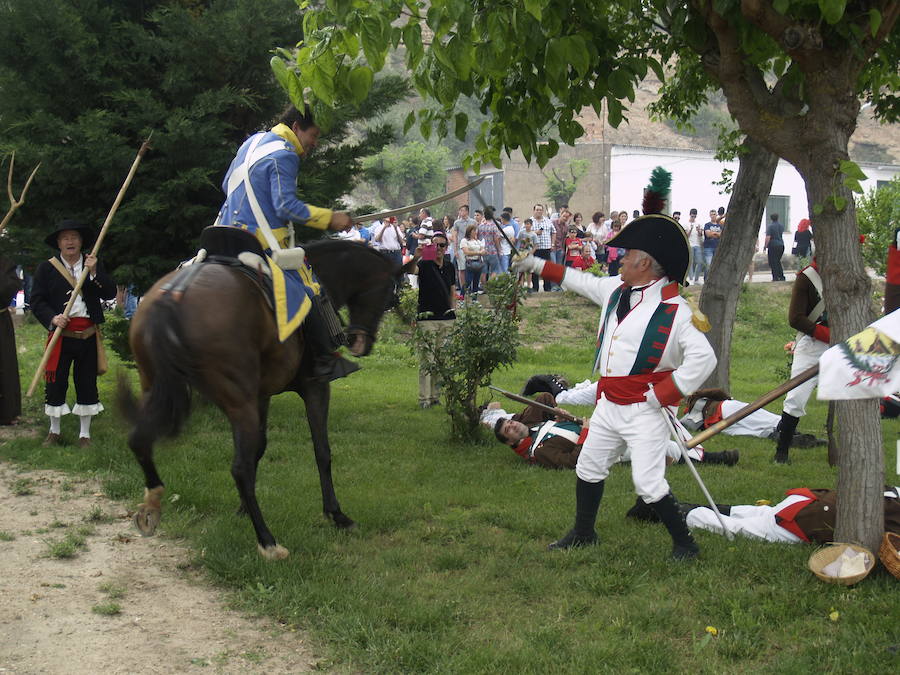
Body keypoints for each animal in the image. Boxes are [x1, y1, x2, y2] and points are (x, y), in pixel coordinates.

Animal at [118, 238, 404, 560]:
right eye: (388, 295)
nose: (361, 344)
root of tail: (174, 297)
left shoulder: (261, 396)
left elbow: (259, 449)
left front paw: (243, 508)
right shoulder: (315, 389)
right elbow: (322, 451)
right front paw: (336, 514)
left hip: (158, 388)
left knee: (140, 440)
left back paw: (152, 504)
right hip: (237, 402)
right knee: (238, 468)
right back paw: (267, 541)